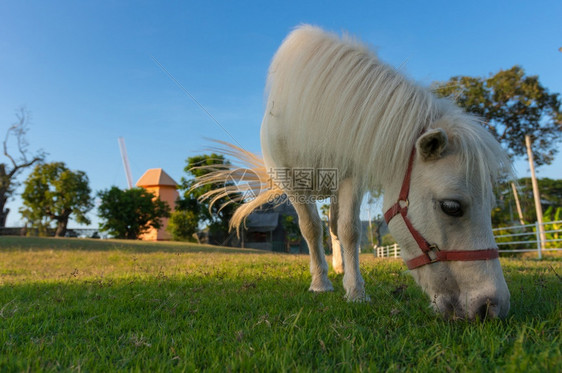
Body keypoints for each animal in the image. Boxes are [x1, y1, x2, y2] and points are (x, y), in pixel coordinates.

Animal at [195, 25, 510, 320]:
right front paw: (320, 284)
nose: (492, 306)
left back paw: (340, 267)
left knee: (335, 226)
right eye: (451, 207)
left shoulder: (351, 177)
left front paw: (355, 289)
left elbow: (349, 229)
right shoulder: (292, 182)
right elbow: (311, 229)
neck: (315, 110)